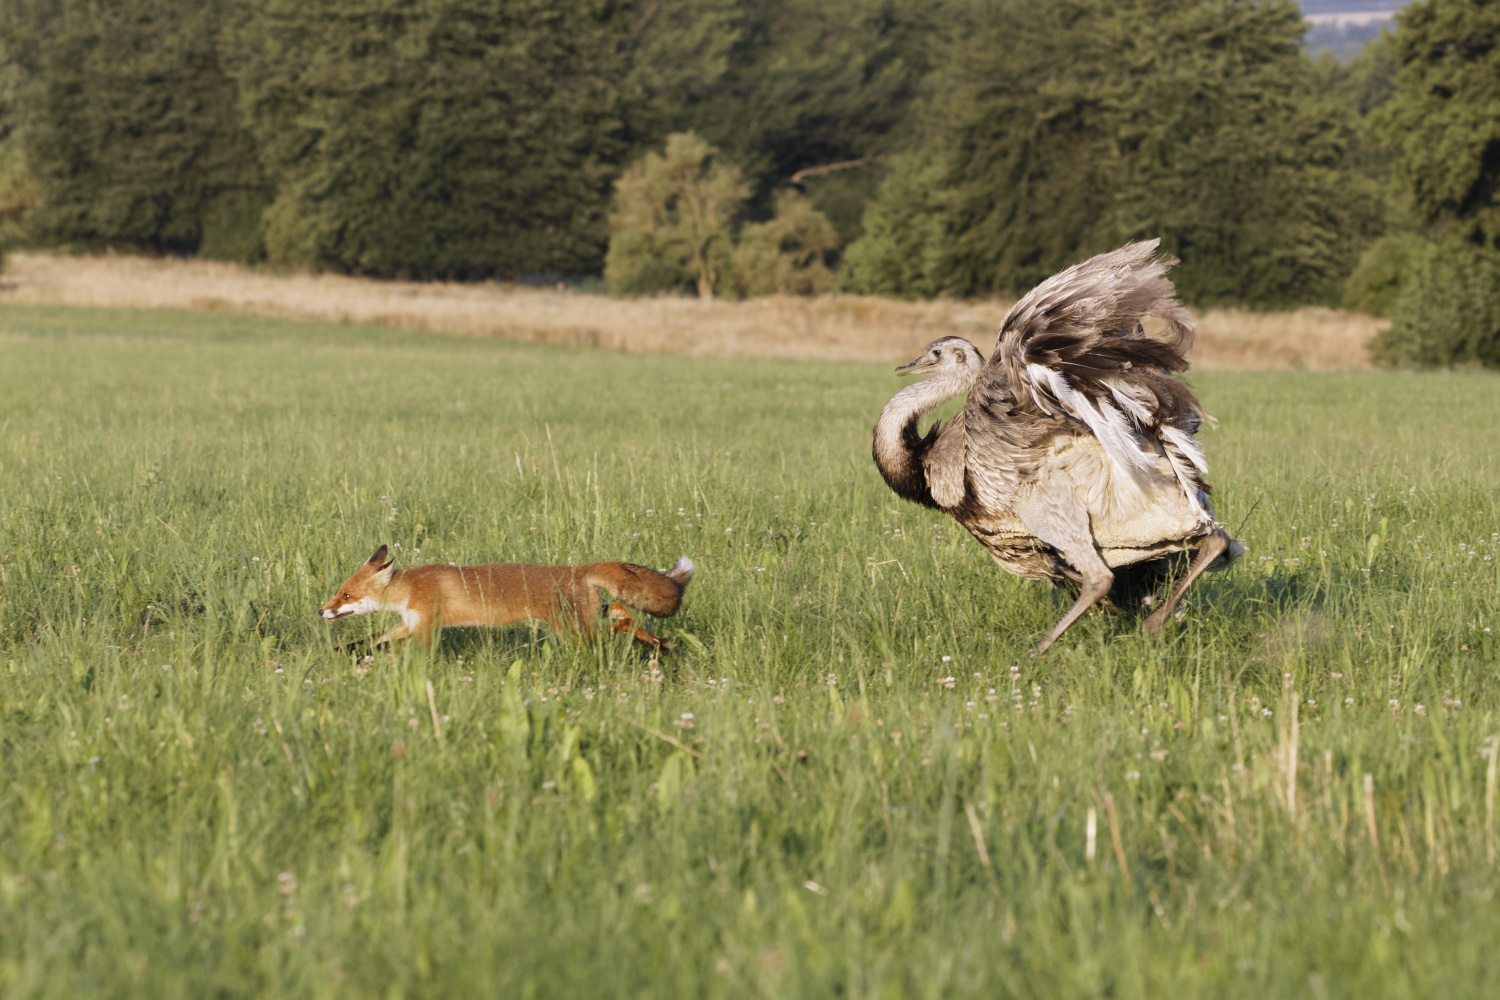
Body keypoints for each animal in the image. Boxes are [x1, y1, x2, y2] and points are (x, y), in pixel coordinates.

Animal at [319, 542, 693, 653]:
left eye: (346, 595)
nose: (321, 610)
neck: (410, 590)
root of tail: (577, 569)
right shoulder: (409, 623)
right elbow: (373, 640)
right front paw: (346, 653)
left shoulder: (425, 631)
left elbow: (395, 651)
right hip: (585, 621)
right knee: (617, 608)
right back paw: (656, 641)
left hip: (577, 634)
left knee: (617, 624)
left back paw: (650, 640)